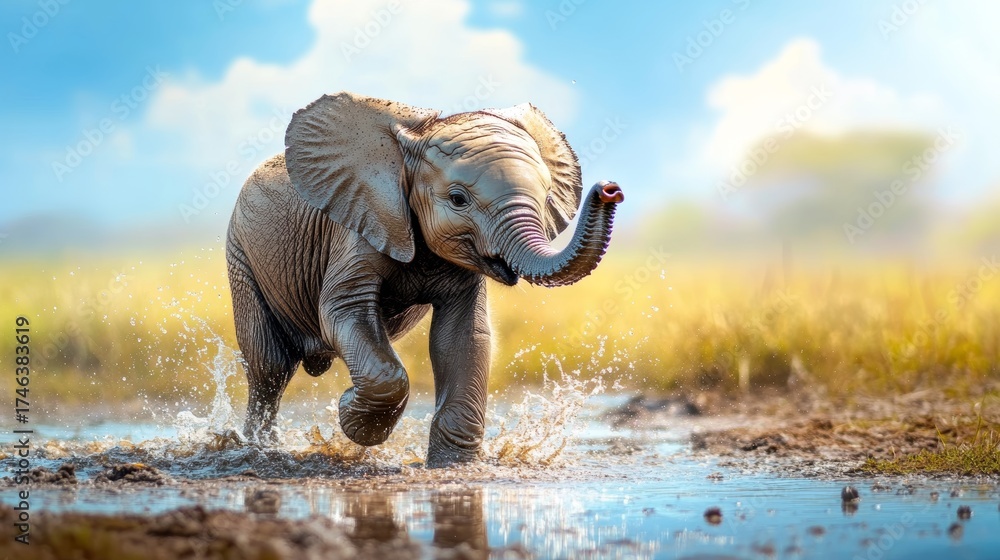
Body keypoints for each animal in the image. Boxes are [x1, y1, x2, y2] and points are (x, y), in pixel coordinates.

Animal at [226, 91, 624, 466]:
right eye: (458, 199)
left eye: (546, 196)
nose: (610, 190)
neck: (413, 143)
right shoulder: (362, 224)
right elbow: (344, 310)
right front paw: (349, 415)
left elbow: (463, 336)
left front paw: (453, 466)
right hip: (241, 255)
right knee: (269, 367)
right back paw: (259, 450)